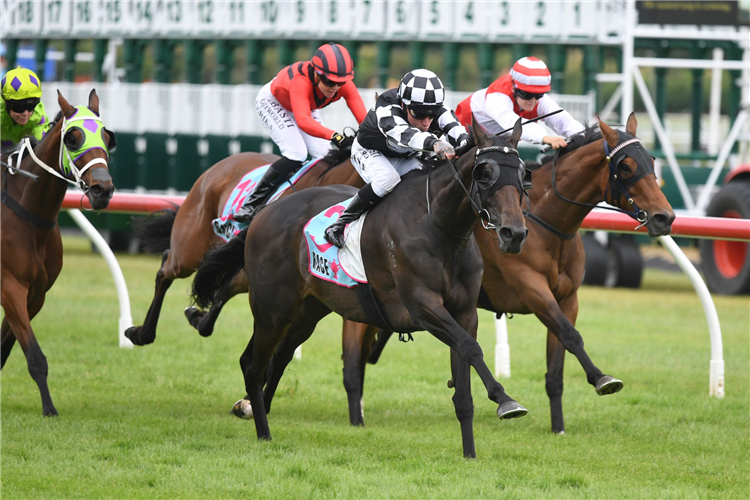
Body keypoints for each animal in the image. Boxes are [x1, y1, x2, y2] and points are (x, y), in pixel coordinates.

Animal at [0, 89, 116, 414]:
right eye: (73, 138)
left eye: (108, 137)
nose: (102, 190)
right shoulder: (10, 286)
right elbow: (35, 356)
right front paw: (49, 408)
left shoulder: (35, 294)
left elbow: (5, 349)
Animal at [195, 117, 536, 458]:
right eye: (485, 172)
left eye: (523, 173)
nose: (514, 233)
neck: (439, 225)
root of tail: (264, 213)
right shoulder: (423, 306)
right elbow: (471, 347)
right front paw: (505, 400)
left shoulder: (464, 313)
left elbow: (464, 378)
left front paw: (470, 453)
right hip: (273, 310)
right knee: (253, 364)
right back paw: (262, 430)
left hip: (309, 311)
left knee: (278, 357)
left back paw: (256, 411)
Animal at [358, 113, 676, 434]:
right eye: (626, 166)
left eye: (651, 160)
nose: (665, 217)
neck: (545, 222)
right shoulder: (531, 288)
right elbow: (569, 334)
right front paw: (602, 379)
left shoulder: (567, 298)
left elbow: (560, 358)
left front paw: (559, 427)